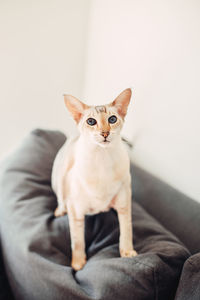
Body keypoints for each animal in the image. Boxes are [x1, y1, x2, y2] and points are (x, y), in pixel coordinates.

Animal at [51, 88, 138, 270]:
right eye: (91, 121)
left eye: (112, 119)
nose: (105, 133)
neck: (102, 160)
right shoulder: (76, 211)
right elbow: (77, 241)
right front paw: (77, 263)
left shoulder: (124, 202)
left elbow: (127, 229)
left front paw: (127, 252)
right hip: (59, 175)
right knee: (61, 199)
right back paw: (60, 210)